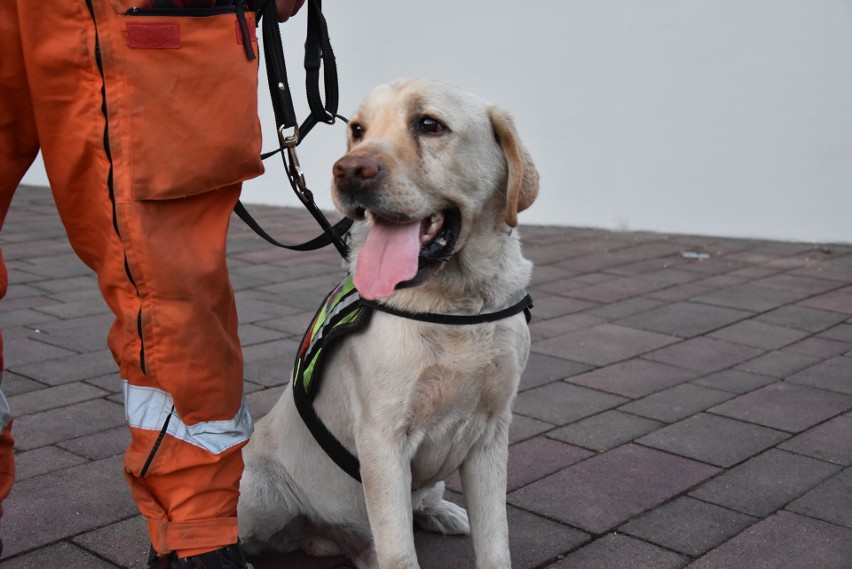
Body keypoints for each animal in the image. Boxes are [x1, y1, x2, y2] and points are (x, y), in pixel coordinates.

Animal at [236, 79, 536, 568]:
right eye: (357, 129)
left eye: (429, 124)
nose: (348, 171)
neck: (457, 305)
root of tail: (325, 539)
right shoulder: (383, 437)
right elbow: (399, 551)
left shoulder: (492, 432)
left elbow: (496, 539)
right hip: (254, 489)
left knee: (421, 503)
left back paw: (442, 513)